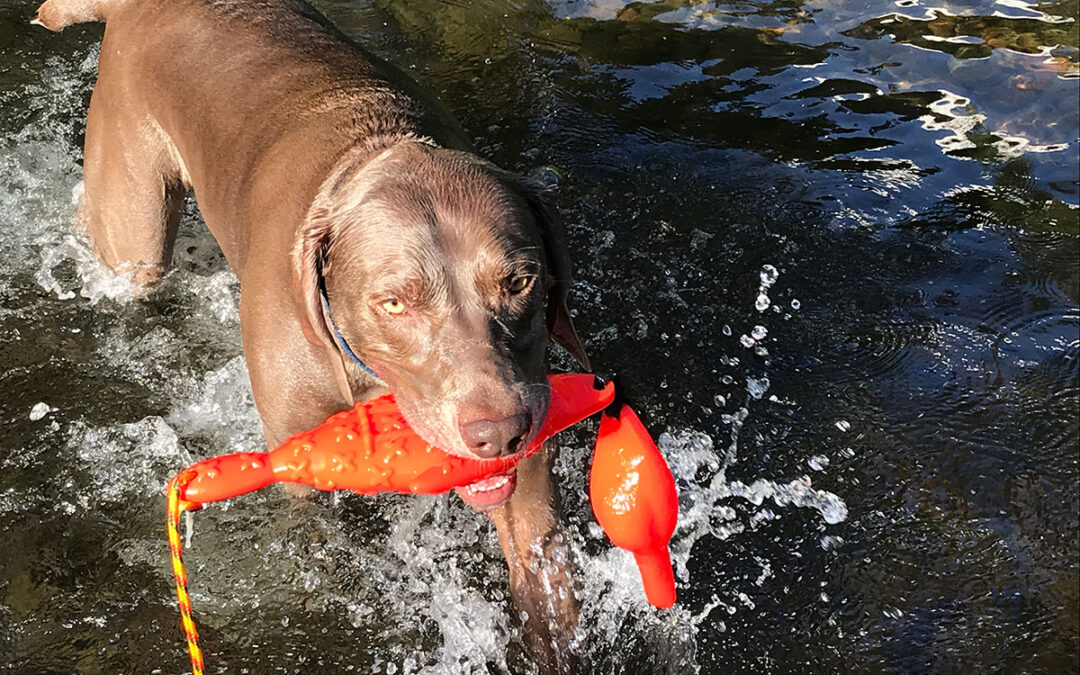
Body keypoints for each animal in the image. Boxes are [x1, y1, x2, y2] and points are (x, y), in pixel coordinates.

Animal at [35, 0, 591, 665]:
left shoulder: (526, 440)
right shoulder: (297, 453)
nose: (498, 432)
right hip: (133, 221)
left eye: (520, 281)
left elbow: (545, 582)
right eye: (394, 302)